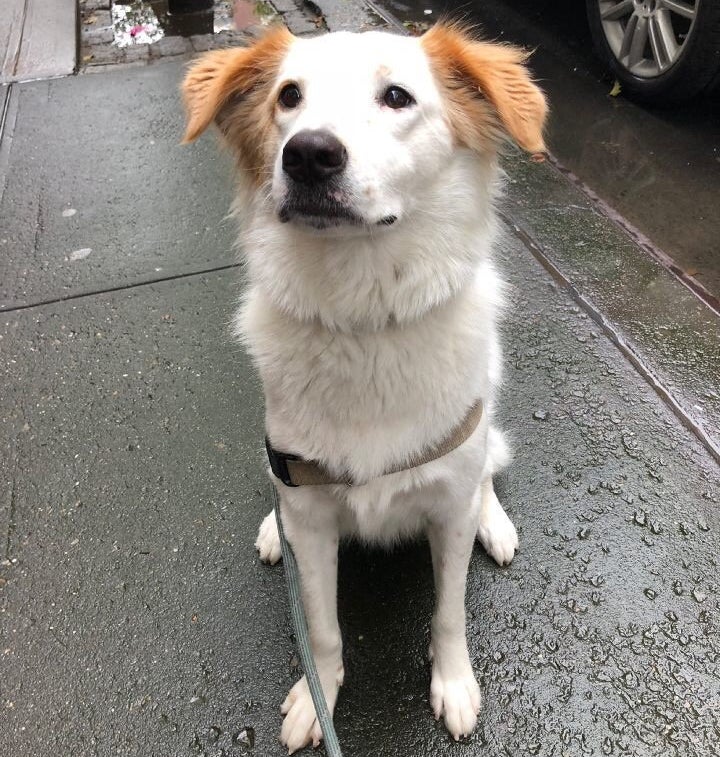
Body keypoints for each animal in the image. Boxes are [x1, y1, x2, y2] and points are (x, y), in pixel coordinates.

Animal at [183, 22, 548, 752]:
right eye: (288, 96)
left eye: (397, 96)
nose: (307, 154)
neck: (364, 318)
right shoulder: (314, 515)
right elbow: (322, 627)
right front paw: (317, 696)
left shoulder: (446, 504)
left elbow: (449, 611)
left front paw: (453, 683)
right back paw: (272, 530)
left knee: (488, 470)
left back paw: (494, 520)